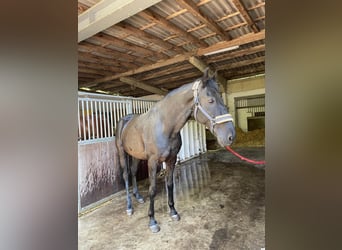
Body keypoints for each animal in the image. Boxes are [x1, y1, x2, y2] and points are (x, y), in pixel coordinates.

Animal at [115, 68, 235, 232]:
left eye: (222, 99)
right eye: (211, 100)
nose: (230, 136)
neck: (165, 126)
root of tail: (125, 119)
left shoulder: (171, 159)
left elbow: (170, 185)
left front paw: (173, 212)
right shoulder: (153, 162)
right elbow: (153, 189)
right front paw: (152, 221)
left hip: (136, 155)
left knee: (133, 172)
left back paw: (138, 196)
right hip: (122, 152)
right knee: (126, 175)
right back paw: (129, 207)